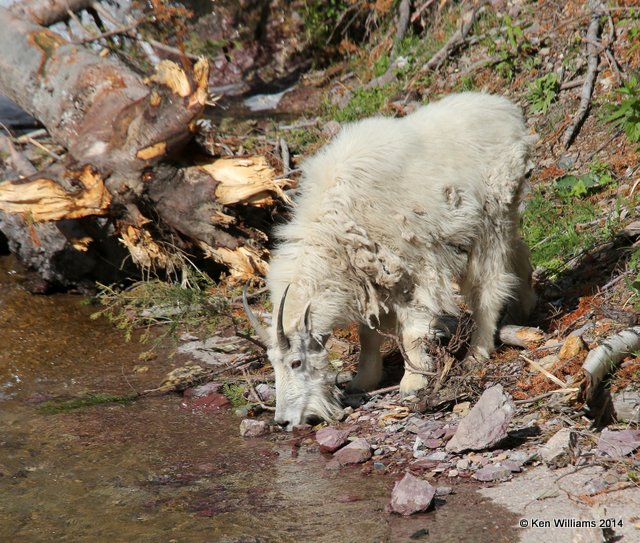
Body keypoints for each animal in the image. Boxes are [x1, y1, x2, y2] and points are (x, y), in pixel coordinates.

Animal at [242, 94, 536, 434]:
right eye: (274, 364)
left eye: (295, 362)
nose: (284, 421)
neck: (334, 228)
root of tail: (509, 112)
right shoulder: (369, 280)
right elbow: (369, 335)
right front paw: (363, 380)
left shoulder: (413, 268)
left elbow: (412, 331)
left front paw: (413, 381)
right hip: (501, 217)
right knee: (519, 248)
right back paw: (526, 307)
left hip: (492, 217)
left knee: (488, 285)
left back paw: (478, 351)